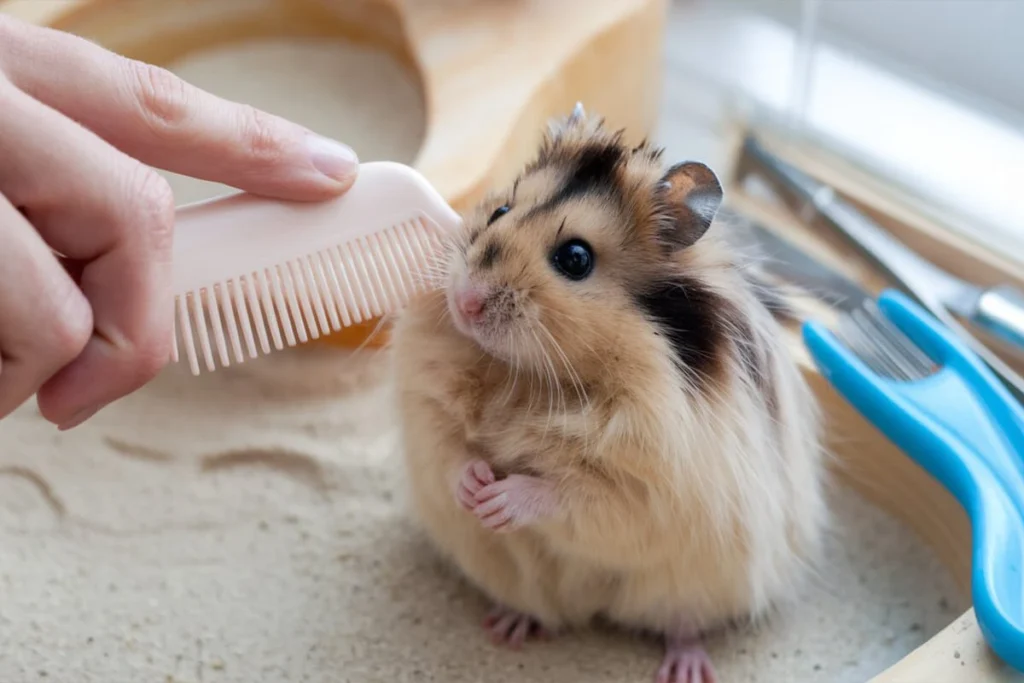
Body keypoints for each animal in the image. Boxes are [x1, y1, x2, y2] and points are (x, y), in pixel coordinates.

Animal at [387, 102, 827, 683]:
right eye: (500, 209)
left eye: (575, 258)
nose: (466, 302)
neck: (530, 377)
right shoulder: (427, 409)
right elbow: (452, 453)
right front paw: (476, 488)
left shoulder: (646, 488)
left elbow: (569, 494)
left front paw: (499, 500)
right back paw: (506, 628)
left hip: (695, 588)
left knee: (681, 625)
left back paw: (686, 669)